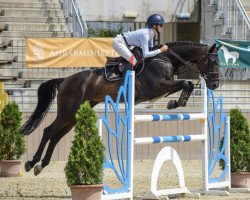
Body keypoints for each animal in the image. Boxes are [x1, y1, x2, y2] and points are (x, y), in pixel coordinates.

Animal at [21, 40, 221, 175]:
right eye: (212, 62)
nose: (215, 85)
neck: (165, 58)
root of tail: (65, 80)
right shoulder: (158, 87)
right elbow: (187, 83)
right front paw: (174, 104)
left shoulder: (164, 87)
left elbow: (188, 84)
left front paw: (176, 103)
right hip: (67, 111)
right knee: (48, 131)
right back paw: (31, 163)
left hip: (74, 116)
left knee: (56, 136)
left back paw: (41, 165)